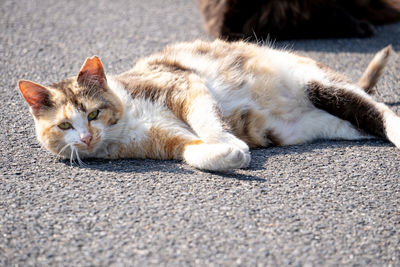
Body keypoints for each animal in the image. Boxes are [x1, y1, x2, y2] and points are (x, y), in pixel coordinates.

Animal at [18, 40, 396, 173]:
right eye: (64, 125)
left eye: (93, 113)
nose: (86, 138)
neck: (126, 124)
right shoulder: (168, 141)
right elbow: (193, 153)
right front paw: (231, 155)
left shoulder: (183, 85)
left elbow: (208, 121)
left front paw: (228, 142)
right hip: (337, 124)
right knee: (365, 123)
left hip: (321, 85)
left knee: (382, 113)